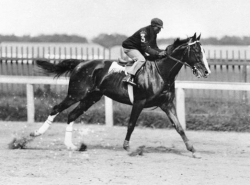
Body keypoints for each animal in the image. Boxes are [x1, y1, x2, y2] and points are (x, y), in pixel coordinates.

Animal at [30, 33, 211, 156]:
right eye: (197, 51)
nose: (207, 71)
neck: (160, 72)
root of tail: (80, 63)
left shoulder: (166, 104)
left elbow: (179, 127)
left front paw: (192, 149)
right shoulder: (139, 102)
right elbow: (131, 124)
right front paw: (127, 147)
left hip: (91, 98)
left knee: (71, 115)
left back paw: (72, 146)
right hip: (76, 94)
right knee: (56, 108)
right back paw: (34, 134)